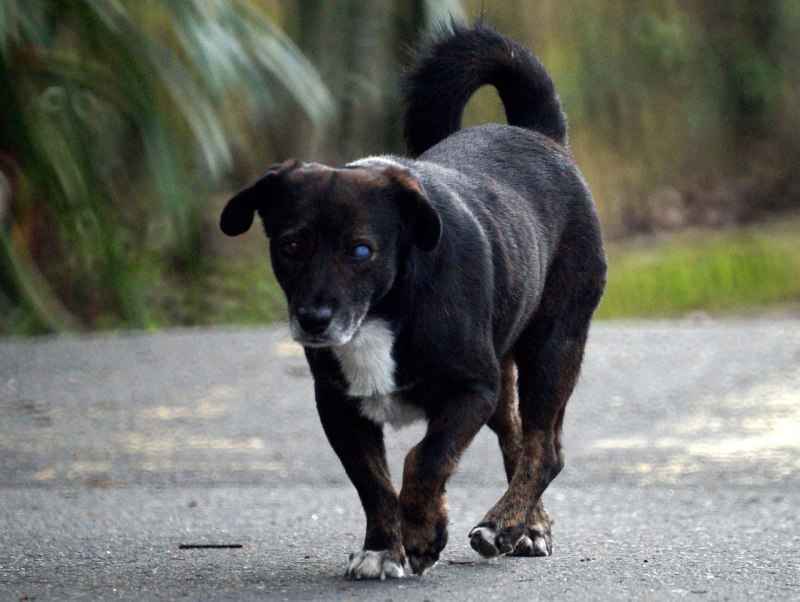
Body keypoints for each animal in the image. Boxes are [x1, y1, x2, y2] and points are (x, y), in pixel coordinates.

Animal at [219, 23, 608, 576]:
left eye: (361, 250)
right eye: (290, 246)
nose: (314, 320)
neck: (386, 310)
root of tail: (541, 135)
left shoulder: (469, 391)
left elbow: (423, 459)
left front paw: (422, 536)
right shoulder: (339, 408)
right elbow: (373, 483)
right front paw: (385, 546)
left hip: (553, 345)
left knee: (545, 449)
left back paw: (502, 525)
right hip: (506, 368)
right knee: (518, 436)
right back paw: (529, 525)